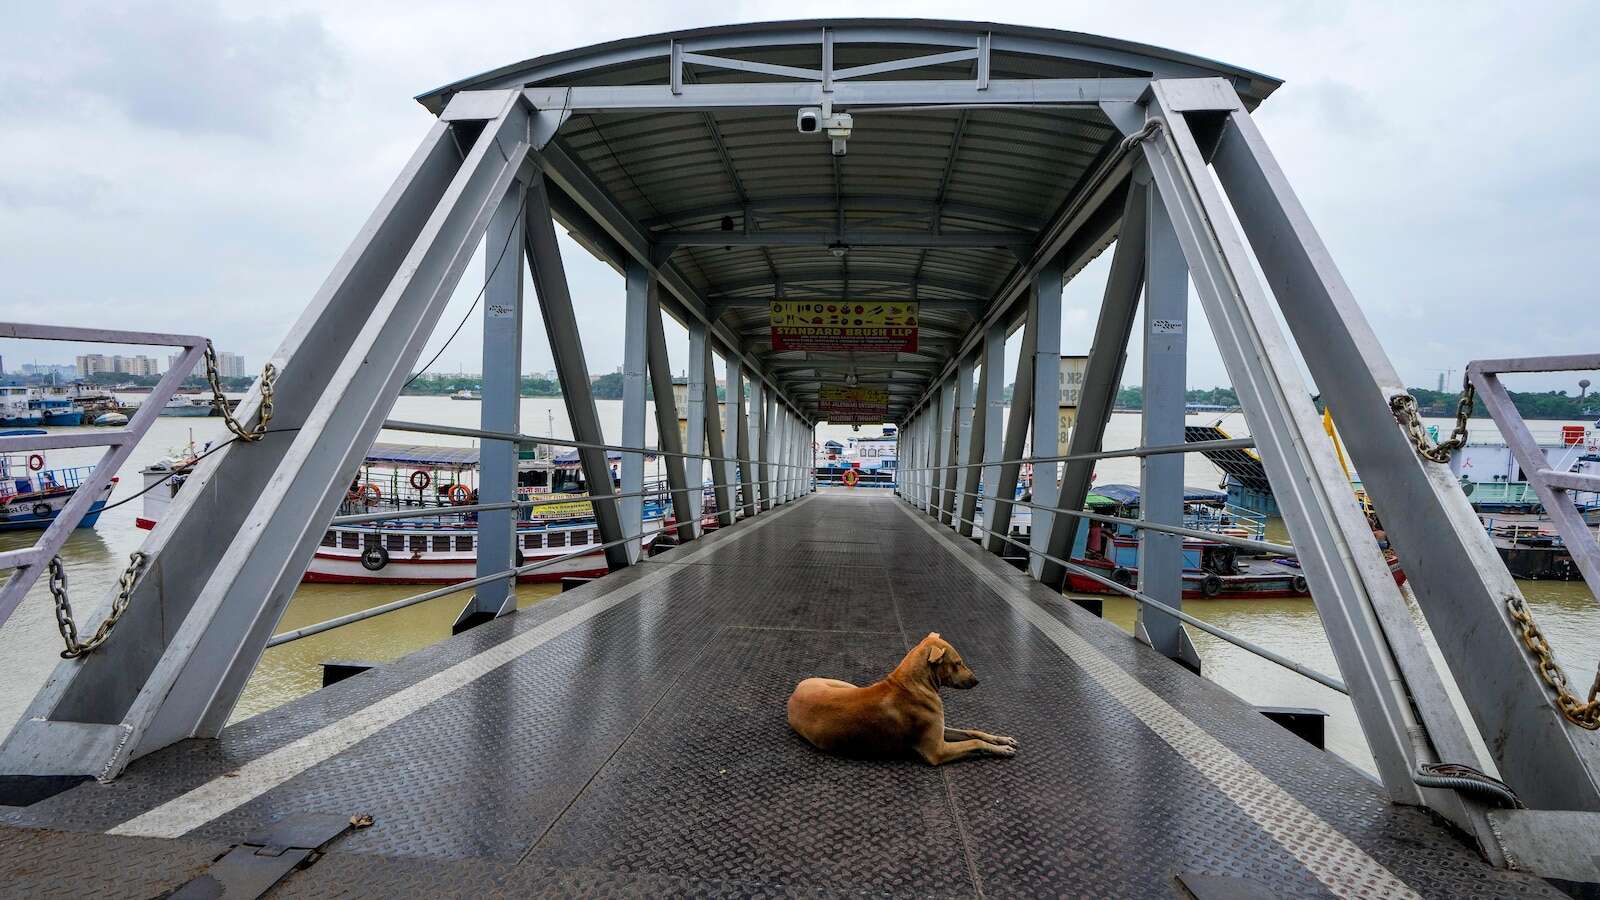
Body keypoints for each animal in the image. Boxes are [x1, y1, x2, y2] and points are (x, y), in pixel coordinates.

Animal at [787, 630, 1011, 762]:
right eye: (958, 663)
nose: (977, 681)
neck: (912, 685)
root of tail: (793, 695)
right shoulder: (937, 751)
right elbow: (974, 743)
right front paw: (1000, 749)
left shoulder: (941, 731)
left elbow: (973, 732)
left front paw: (1002, 740)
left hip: (845, 685)